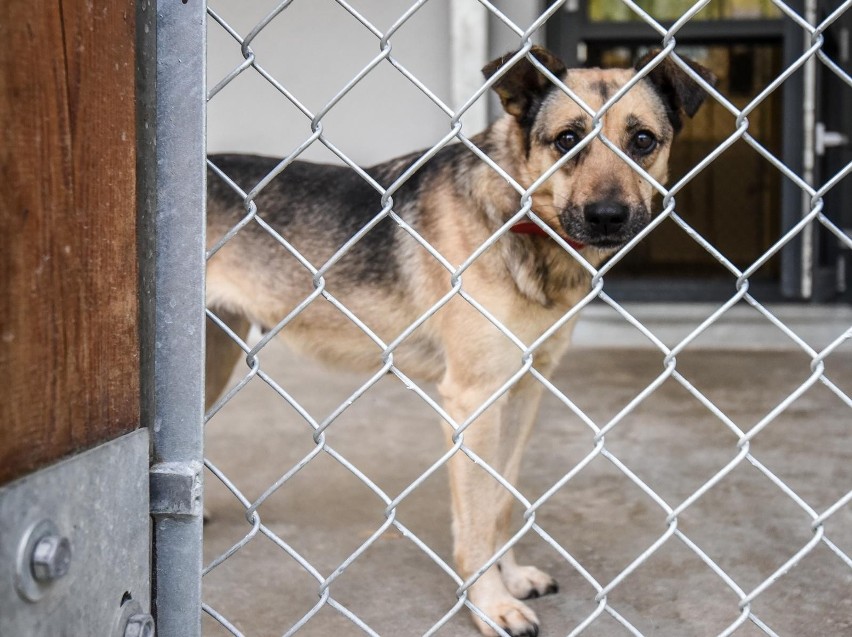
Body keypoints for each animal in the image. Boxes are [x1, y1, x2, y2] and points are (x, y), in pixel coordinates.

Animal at [203, 47, 716, 632]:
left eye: (643, 141)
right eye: (567, 139)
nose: (607, 217)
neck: (519, 216)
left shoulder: (525, 390)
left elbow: (500, 502)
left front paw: (510, 578)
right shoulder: (473, 400)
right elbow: (474, 517)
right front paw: (490, 604)